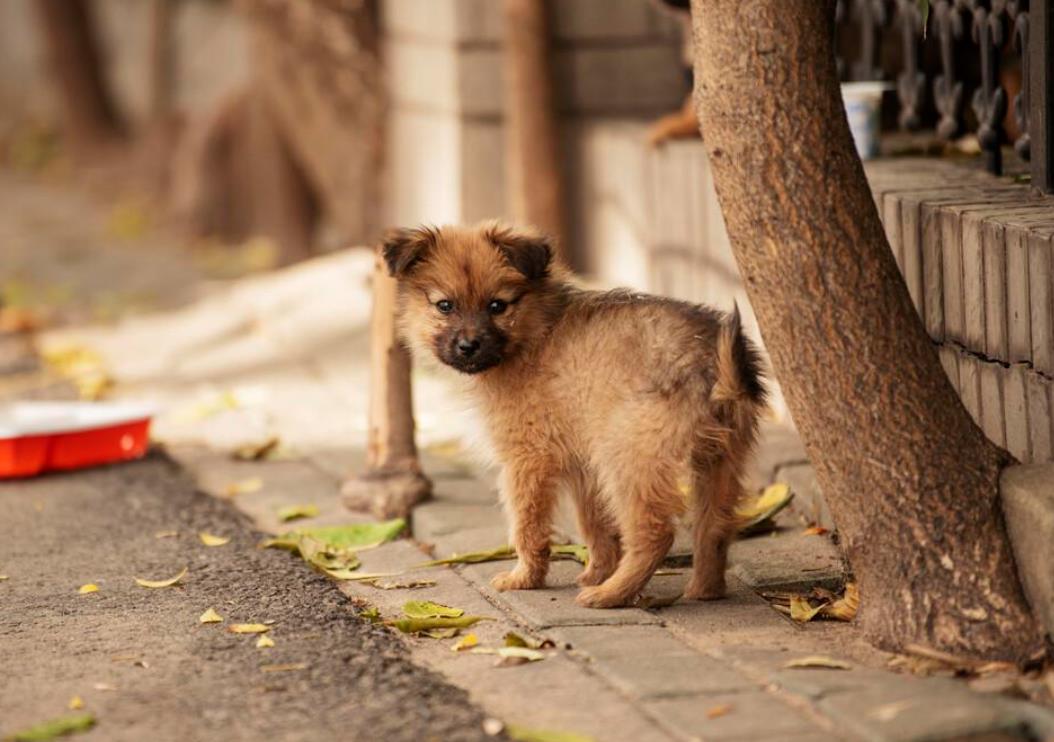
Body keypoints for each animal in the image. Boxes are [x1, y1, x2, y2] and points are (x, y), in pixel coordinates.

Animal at [387, 221, 767, 607]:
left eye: (497, 306)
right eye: (444, 306)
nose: (468, 346)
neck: (533, 332)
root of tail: (712, 362)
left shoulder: (527, 458)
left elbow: (527, 526)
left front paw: (525, 578)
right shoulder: (583, 466)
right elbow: (594, 524)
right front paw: (595, 570)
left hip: (628, 458)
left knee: (654, 532)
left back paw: (610, 594)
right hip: (719, 458)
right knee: (714, 528)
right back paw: (704, 590)